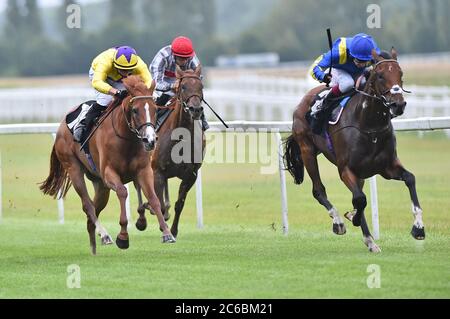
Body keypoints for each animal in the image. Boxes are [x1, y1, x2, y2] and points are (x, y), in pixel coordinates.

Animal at [40, 75, 176, 255]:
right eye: (135, 110)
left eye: (155, 109)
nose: (150, 140)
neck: (126, 138)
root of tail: (63, 123)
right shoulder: (109, 173)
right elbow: (122, 192)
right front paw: (123, 237)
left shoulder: (143, 171)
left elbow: (153, 198)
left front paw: (167, 233)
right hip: (74, 168)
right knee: (88, 205)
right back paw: (104, 235)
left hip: (100, 184)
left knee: (94, 208)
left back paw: (93, 246)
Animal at [133, 66, 205, 239]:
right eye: (183, 86)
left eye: (201, 87)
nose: (196, 109)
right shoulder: (157, 171)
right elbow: (156, 201)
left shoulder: (190, 175)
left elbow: (180, 204)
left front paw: (173, 231)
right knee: (138, 186)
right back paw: (141, 219)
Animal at [284, 48, 426, 252]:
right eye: (380, 75)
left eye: (401, 74)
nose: (398, 104)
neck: (369, 125)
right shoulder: (345, 170)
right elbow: (359, 199)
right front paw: (353, 218)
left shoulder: (387, 167)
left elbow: (410, 179)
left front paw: (418, 228)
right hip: (307, 151)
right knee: (319, 190)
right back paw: (339, 222)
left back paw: (369, 240)